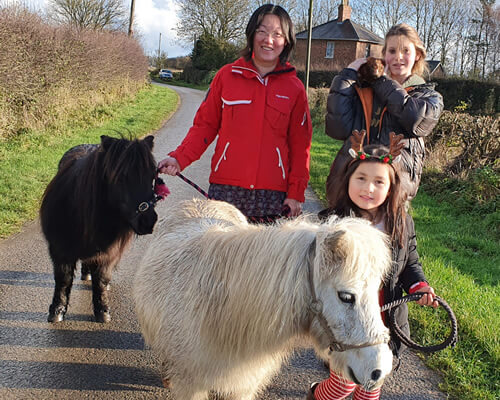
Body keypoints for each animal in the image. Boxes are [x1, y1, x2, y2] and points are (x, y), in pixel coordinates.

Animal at [41, 136, 162, 324]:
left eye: (152, 176)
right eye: (121, 177)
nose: (148, 222)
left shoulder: (108, 253)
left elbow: (102, 280)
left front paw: (102, 310)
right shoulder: (59, 250)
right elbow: (63, 280)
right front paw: (57, 310)